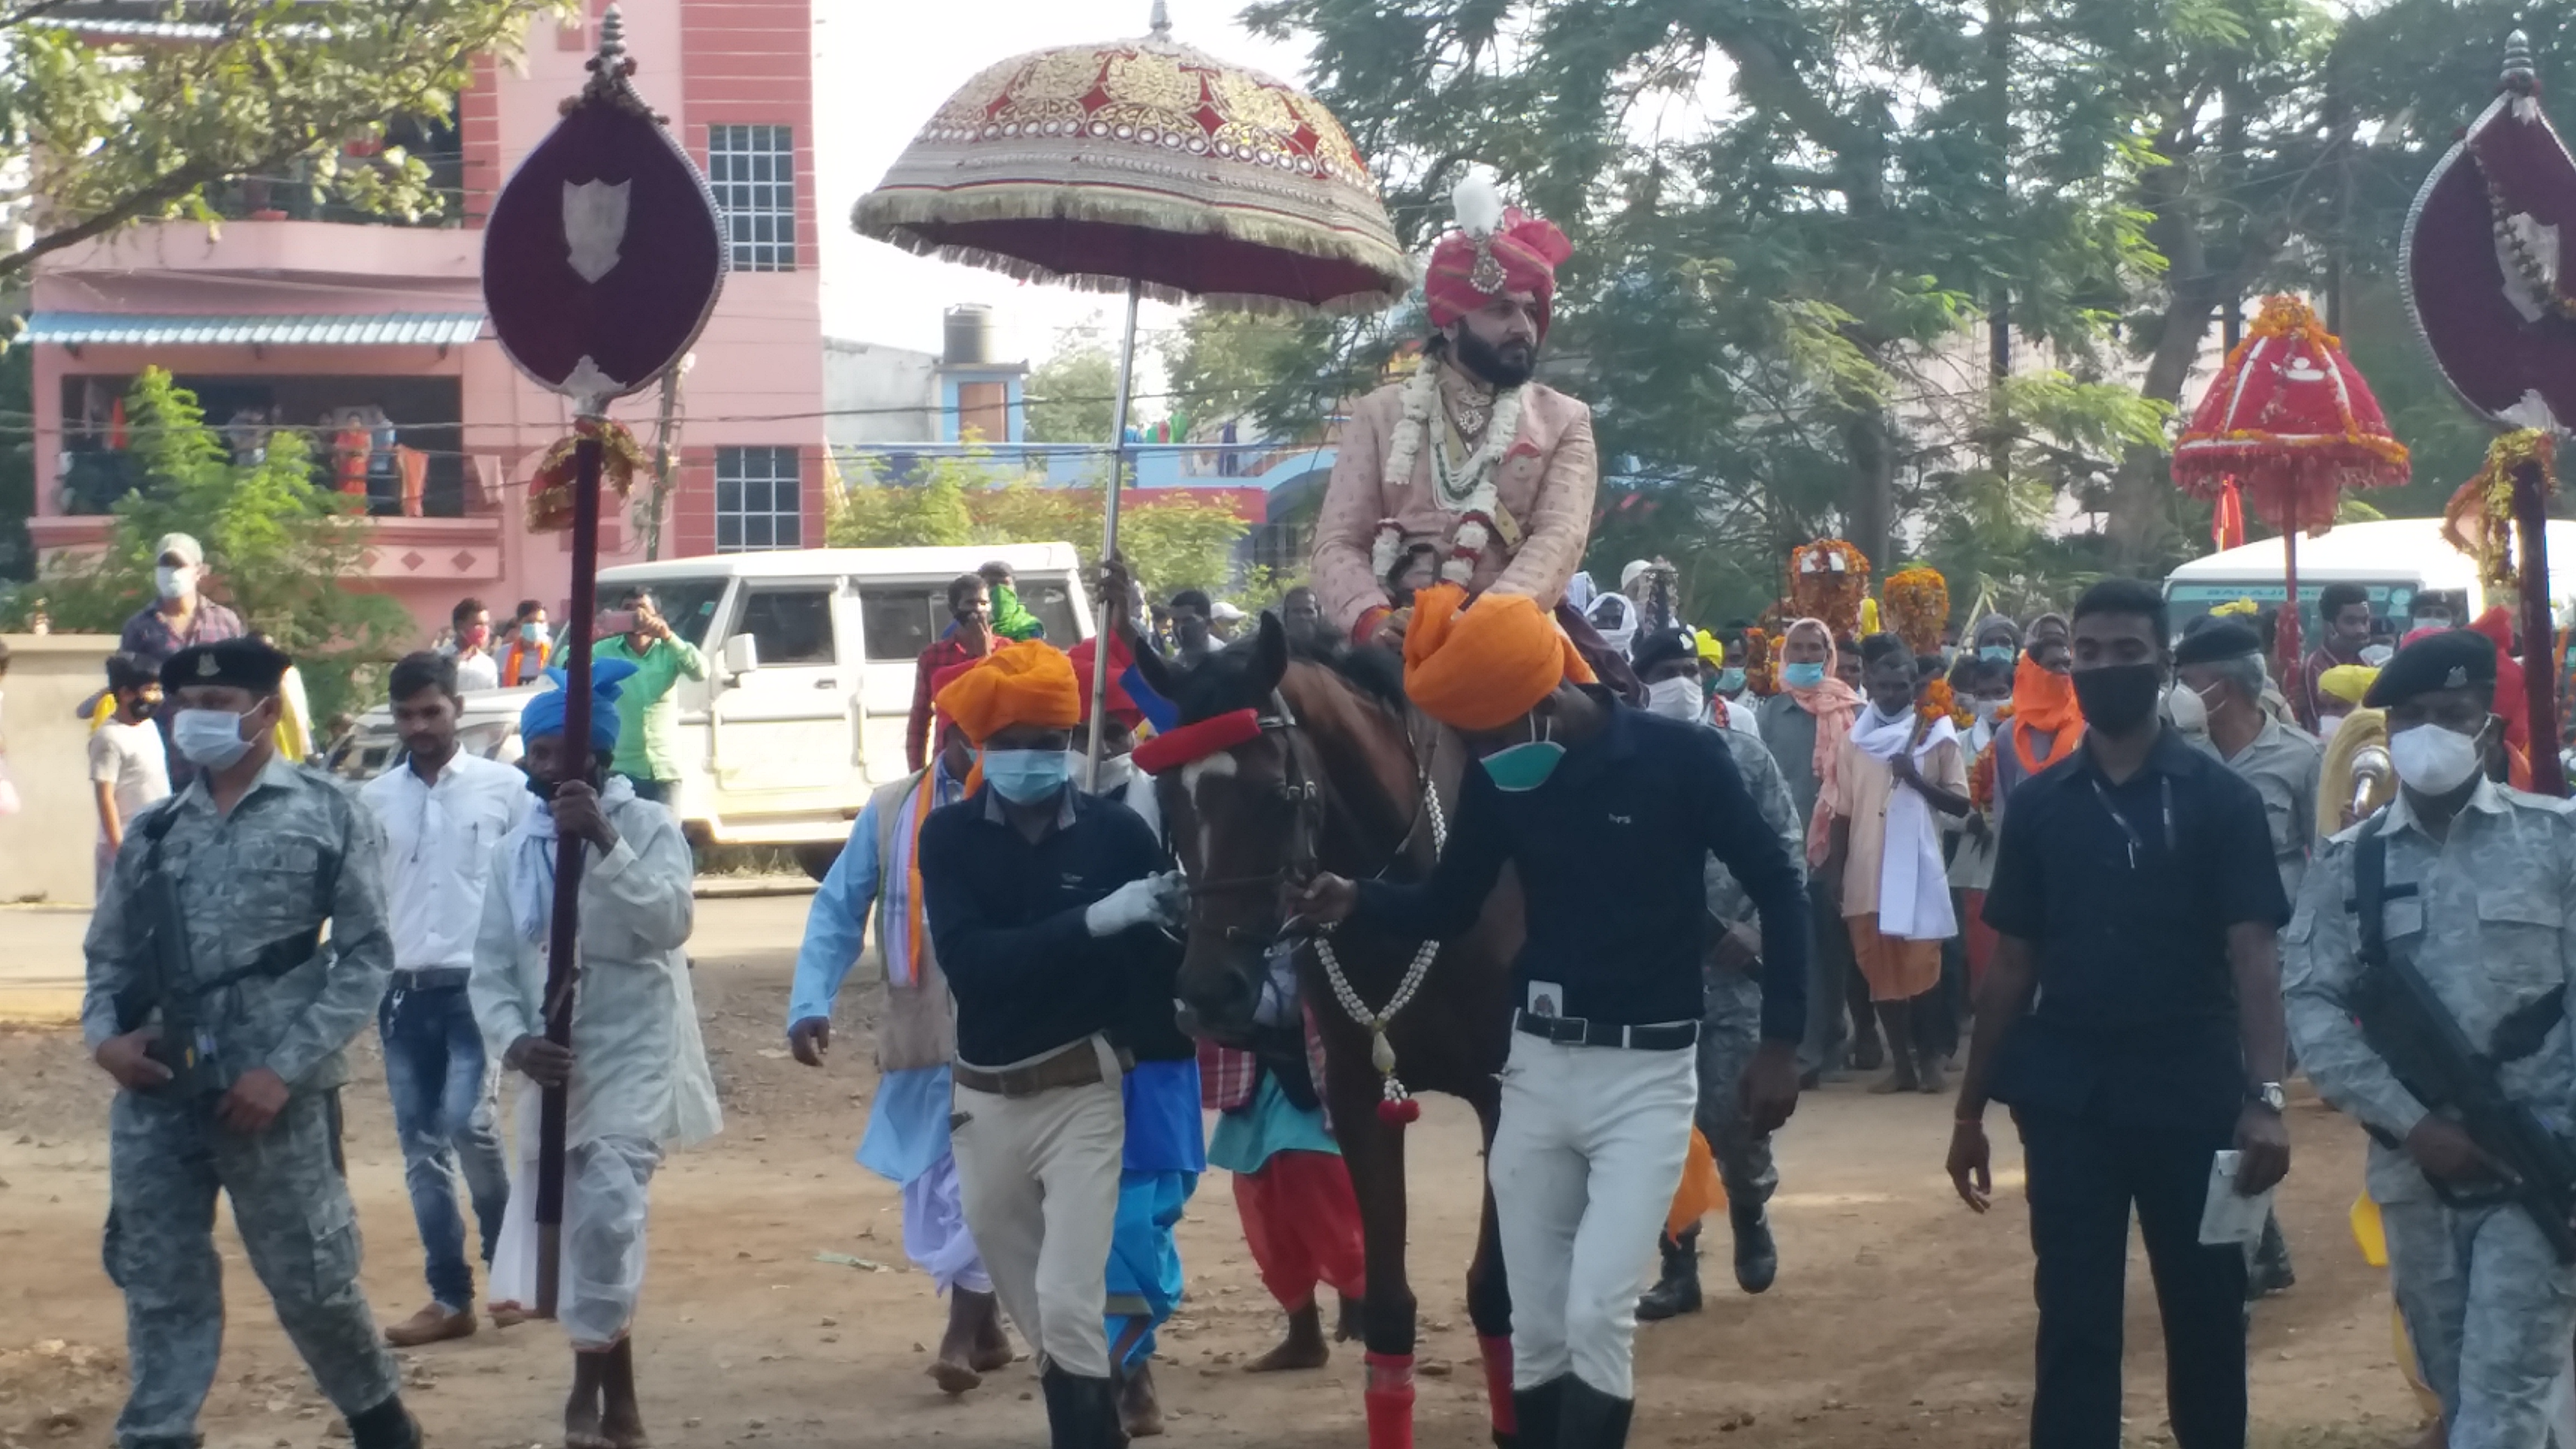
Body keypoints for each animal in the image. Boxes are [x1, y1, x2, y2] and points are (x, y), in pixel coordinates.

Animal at [1133, 611, 1524, 1443]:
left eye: (1276, 793)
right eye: (1171, 800)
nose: (1210, 990)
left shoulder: (1507, 1092)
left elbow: (1495, 1290)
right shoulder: (1356, 1093)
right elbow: (1390, 1308)